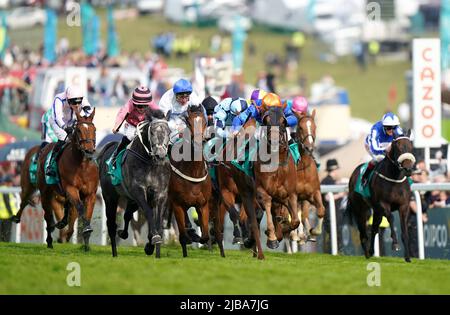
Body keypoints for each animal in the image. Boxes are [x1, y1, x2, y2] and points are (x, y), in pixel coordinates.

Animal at [36, 110, 98, 251]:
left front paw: (87, 243)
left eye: (94, 129)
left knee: (68, 209)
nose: (89, 150)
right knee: (48, 215)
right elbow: (80, 207)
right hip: (45, 192)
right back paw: (49, 241)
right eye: (79, 130)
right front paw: (86, 230)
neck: (82, 165)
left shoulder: (91, 194)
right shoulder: (71, 189)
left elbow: (87, 214)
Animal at [96, 110, 171, 258]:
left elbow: (158, 221)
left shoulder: (160, 194)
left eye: (169, 131)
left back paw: (124, 233)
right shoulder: (139, 191)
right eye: (152, 132)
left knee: (127, 215)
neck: (150, 164)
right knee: (111, 224)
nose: (160, 155)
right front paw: (154, 239)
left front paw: (152, 246)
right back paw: (114, 253)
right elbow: (149, 212)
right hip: (110, 197)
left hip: (131, 200)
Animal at [168, 105, 212, 258]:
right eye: (188, 121)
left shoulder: (203, 205)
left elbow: (205, 236)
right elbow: (183, 236)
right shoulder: (176, 204)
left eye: (204, 121)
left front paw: (198, 237)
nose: (198, 142)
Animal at [253, 107, 298, 251]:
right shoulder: (262, 191)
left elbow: (295, 221)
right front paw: (272, 238)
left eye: (283, 121)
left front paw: (283, 229)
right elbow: (266, 206)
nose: (273, 140)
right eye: (265, 121)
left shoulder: (290, 194)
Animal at [346, 132, 416, 262]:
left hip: (376, 211)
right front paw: (395, 244)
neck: (394, 179)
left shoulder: (404, 206)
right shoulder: (383, 204)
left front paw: (408, 257)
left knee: (374, 228)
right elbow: (391, 219)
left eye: (411, 147)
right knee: (363, 232)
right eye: (398, 147)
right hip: (361, 209)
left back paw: (371, 251)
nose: (408, 169)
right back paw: (367, 253)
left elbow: (404, 230)